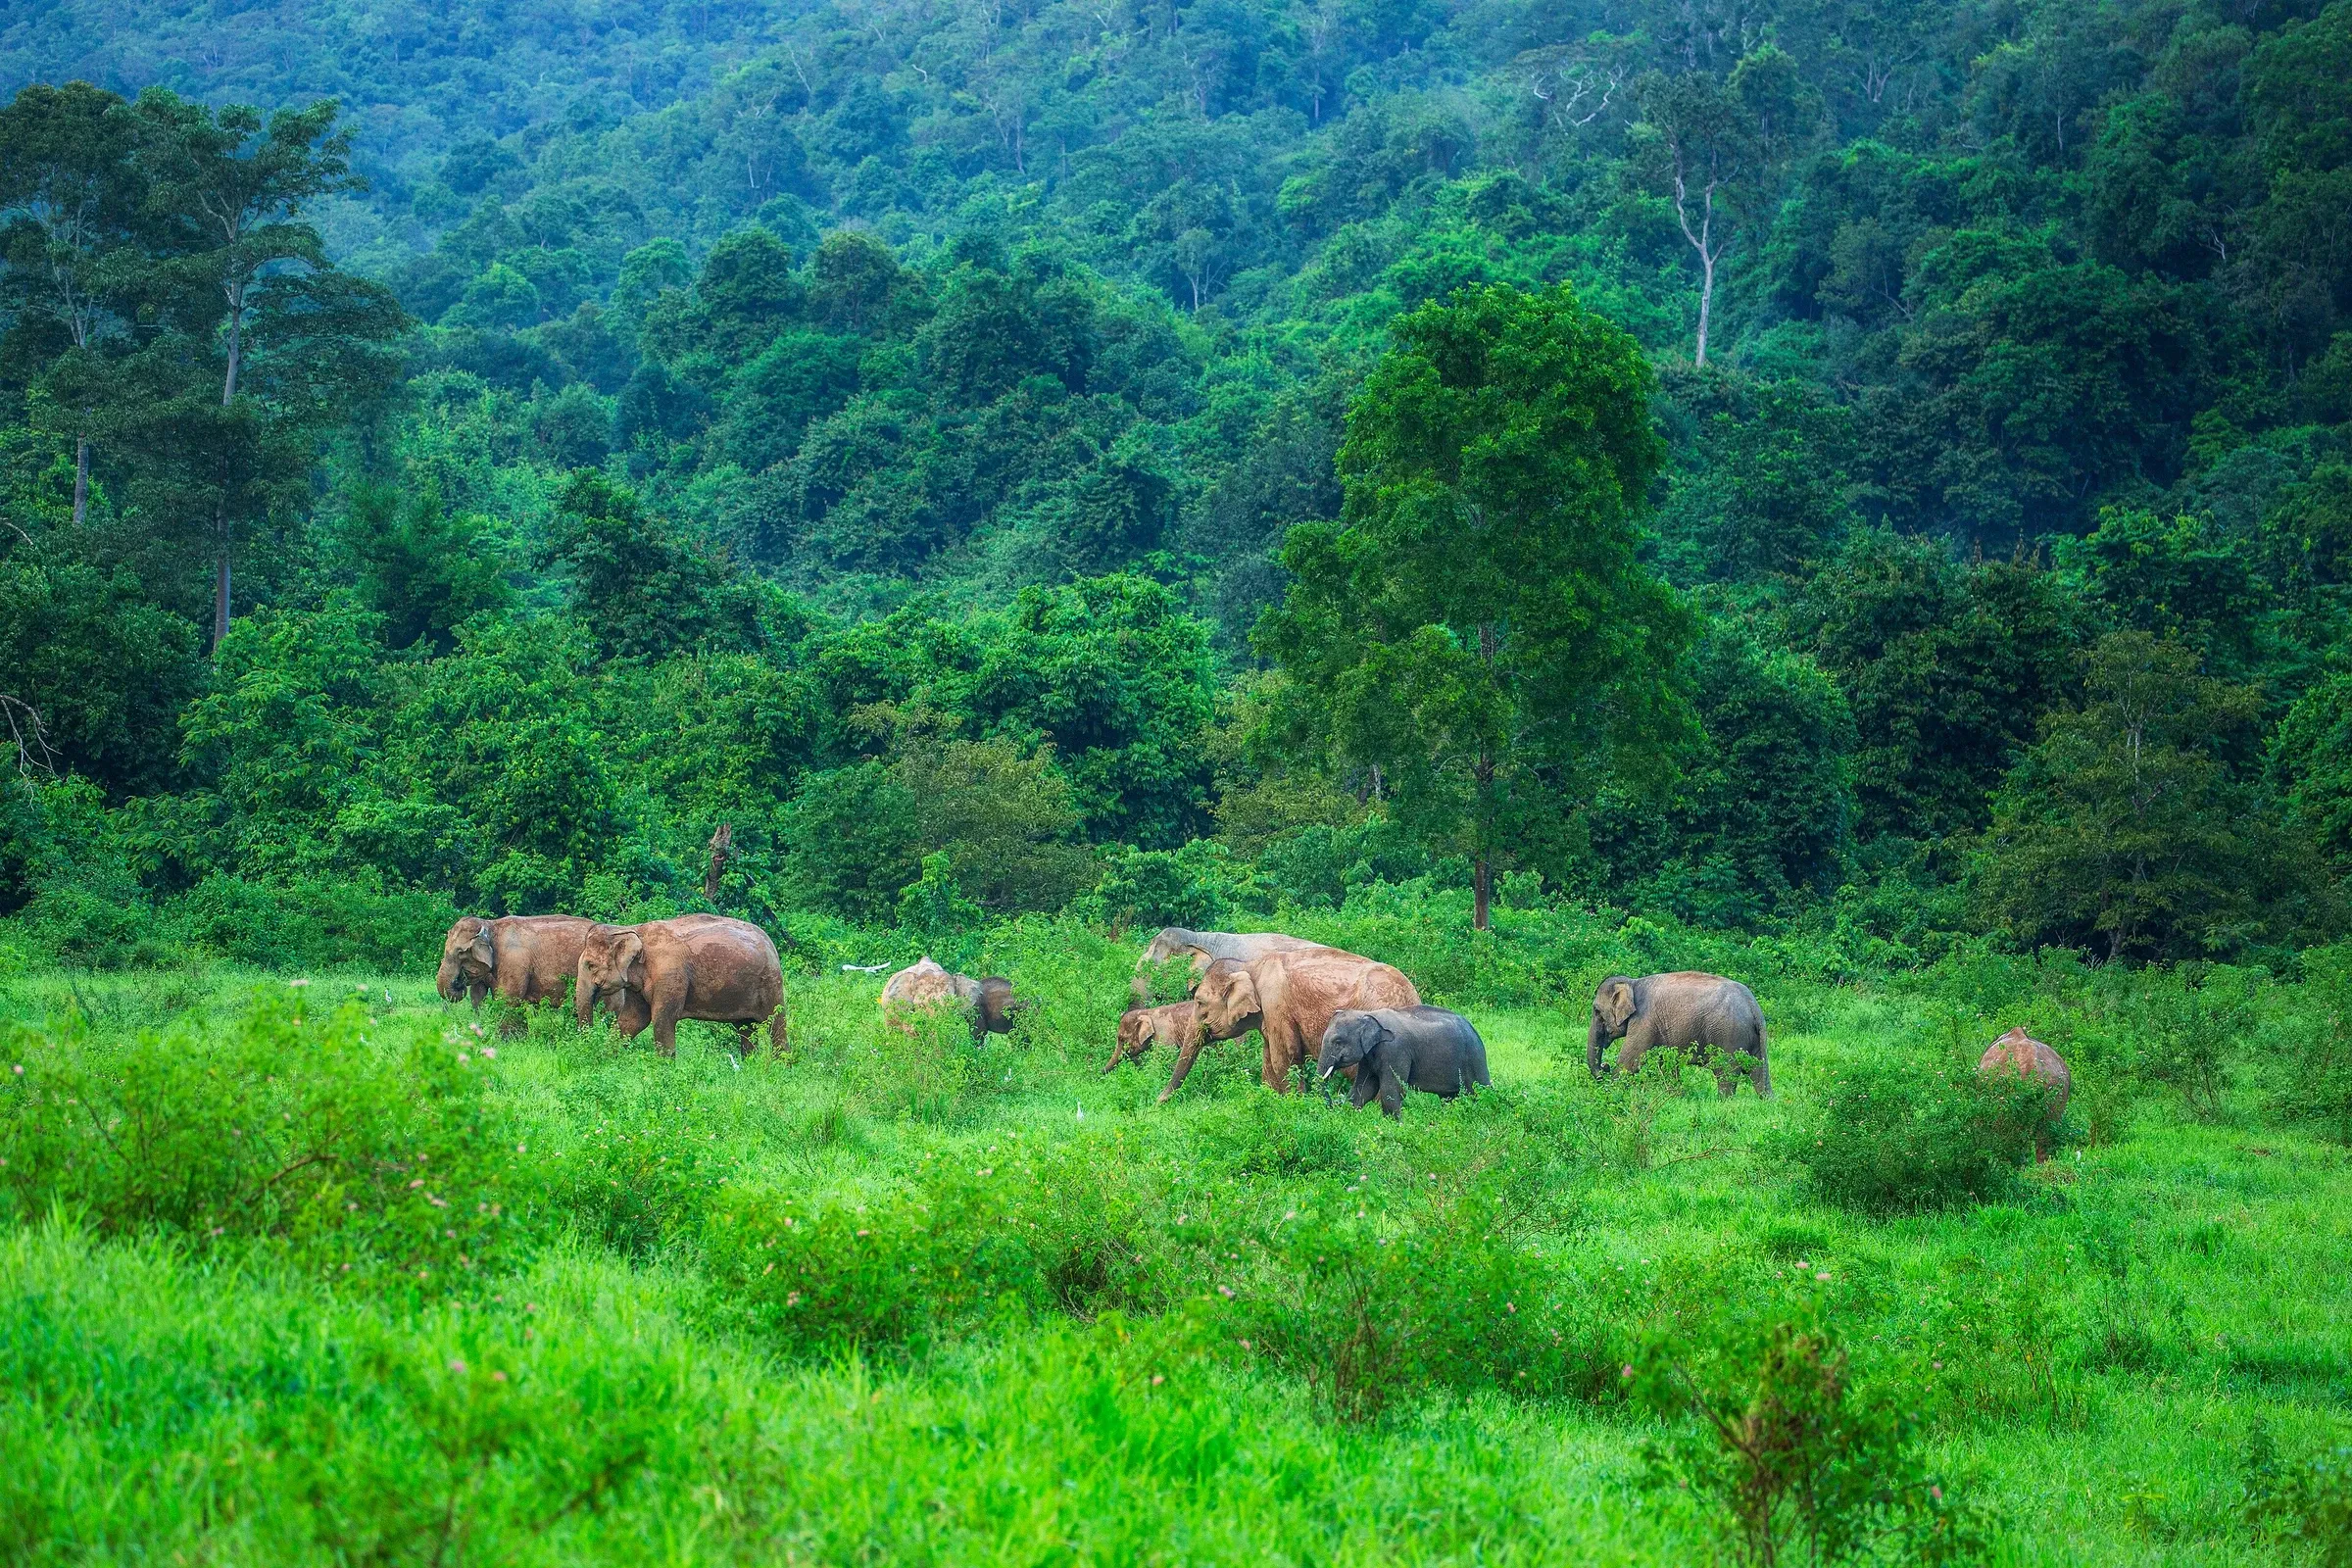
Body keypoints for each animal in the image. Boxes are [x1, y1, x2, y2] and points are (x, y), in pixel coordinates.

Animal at [436, 915, 604, 1013]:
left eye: (460, 952)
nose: (459, 982)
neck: (490, 924)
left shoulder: (515, 960)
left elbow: (510, 997)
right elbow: (477, 996)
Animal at [576, 915, 786, 1057]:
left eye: (591, 965)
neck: (632, 929)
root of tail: (770, 942)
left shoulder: (669, 975)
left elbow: (662, 1020)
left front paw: (665, 1070)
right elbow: (633, 1020)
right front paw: (607, 1058)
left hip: (770, 982)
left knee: (775, 1023)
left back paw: (781, 1067)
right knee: (745, 1027)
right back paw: (750, 1064)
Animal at [1319, 1006, 1490, 1118]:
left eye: (1338, 1042)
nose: (1333, 1106)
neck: (1367, 1014)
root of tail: (1474, 1029)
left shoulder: (1395, 1051)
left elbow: (1390, 1089)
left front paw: (1394, 1126)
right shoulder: (1368, 1056)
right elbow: (1364, 1088)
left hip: (1474, 1057)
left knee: (1479, 1090)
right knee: (1448, 1098)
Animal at [1587, 972, 1771, 1098]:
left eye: (1596, 1011)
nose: (1604, 1066)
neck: (1632, 983)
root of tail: (1754, 1007)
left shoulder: (1643, 1021)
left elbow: (1630, 1062)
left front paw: (1610, 1092)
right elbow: (1666, 1062)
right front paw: (1674, 1094)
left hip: (1729, 1036)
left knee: (1726, 1073)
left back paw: (1723, 1102)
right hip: (1752, 1038)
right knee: (1757, 1071)